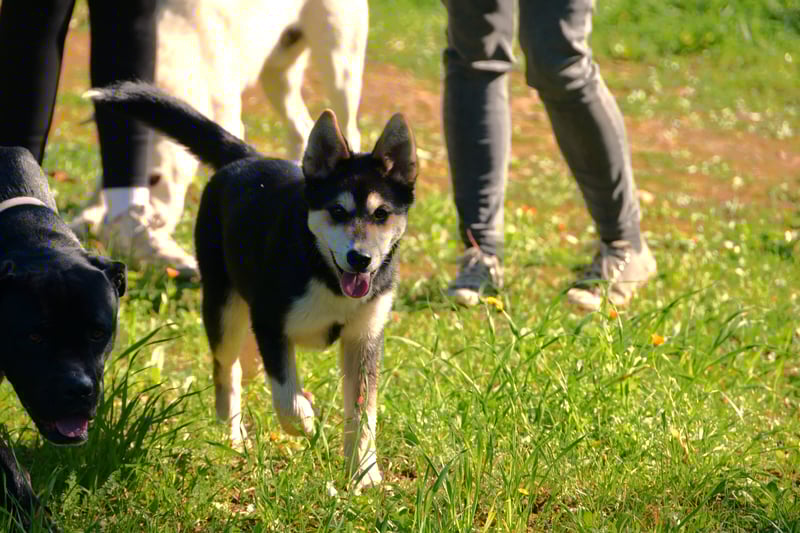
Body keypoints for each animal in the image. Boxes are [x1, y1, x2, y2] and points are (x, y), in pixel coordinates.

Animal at [74, 0, 368, 236]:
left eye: (156, 180)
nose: (148, 229)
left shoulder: (227, 122)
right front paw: (88, 214)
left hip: (339, 66)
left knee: (349, 129)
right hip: (279, 74)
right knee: (301, 128)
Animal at [90, 81, 416, 489]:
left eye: (381, 214)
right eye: (337, 211)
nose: (360, 259)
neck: (323, 272)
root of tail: (246, 158)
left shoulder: (364, 337)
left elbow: (363, 414)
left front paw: (364, 473)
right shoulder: (271, 324)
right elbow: (286, 398)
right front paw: (307, 423)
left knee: (244, 366)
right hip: (224, 309)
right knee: (225, 372)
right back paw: (233, 436)